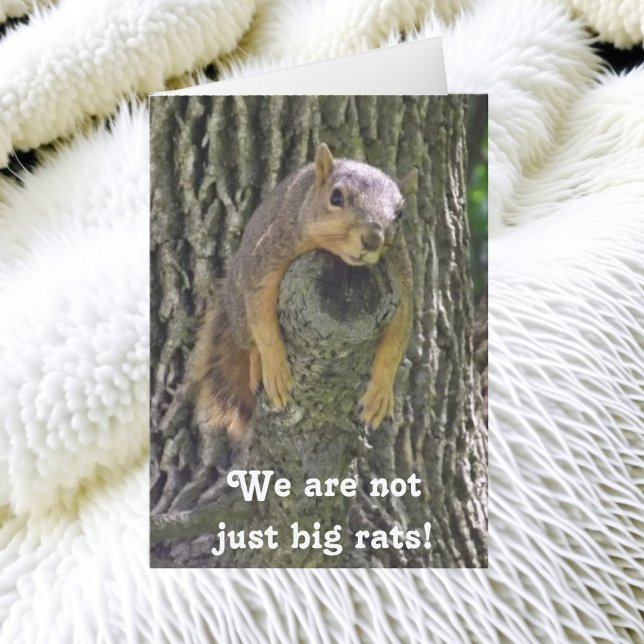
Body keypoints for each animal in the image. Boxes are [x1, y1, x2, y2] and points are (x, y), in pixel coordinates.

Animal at [190, 143, 416, 438]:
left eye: (400, 214)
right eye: (336, 197)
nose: (373, 239)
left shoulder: (400, 276)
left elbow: (397, 339)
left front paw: (380, 393)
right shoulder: (272, 252)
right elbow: (262, 317)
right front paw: (275, 366)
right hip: (239, 311)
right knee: (249, 339)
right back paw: (257, 364)